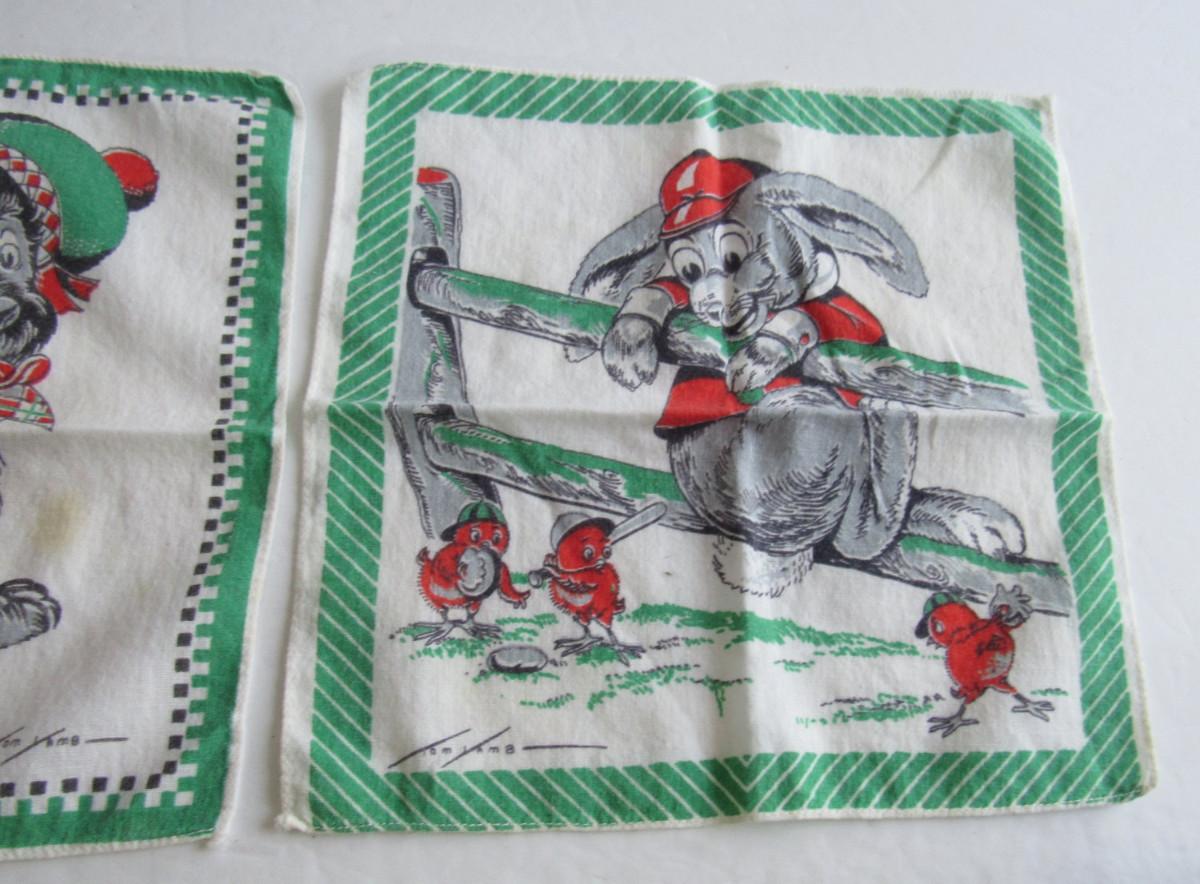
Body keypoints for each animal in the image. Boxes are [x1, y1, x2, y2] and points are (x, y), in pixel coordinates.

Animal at [569, 150, 1026, 596]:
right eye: (689, 271)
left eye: (734, 258)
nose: (713, 306)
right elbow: (659, 294)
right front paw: (630, 340)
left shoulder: (849, 318)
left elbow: (829, 321)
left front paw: (766, 350)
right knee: (854, 538)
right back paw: (895, 425)